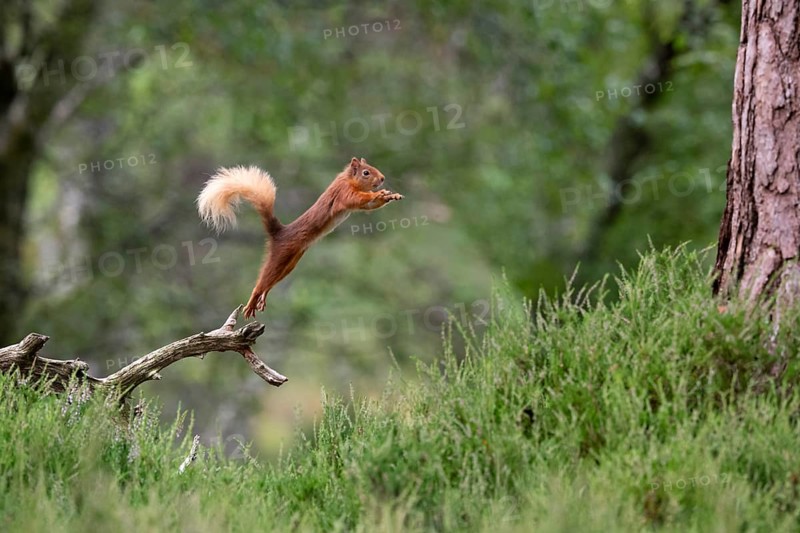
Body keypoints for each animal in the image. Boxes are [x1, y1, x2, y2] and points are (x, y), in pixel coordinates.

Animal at [197, 157, 403, 318]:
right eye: (366, 173)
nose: (382, 179)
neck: (348, 179)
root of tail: (279, 232)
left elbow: (369, 204)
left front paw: (389, 195)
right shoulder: (343, 193)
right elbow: (358, 199)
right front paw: (380, 193)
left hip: (291, 262)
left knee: (271, 282)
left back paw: (263, 297)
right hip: (280, 256)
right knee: (262, 280)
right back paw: (252, 301)